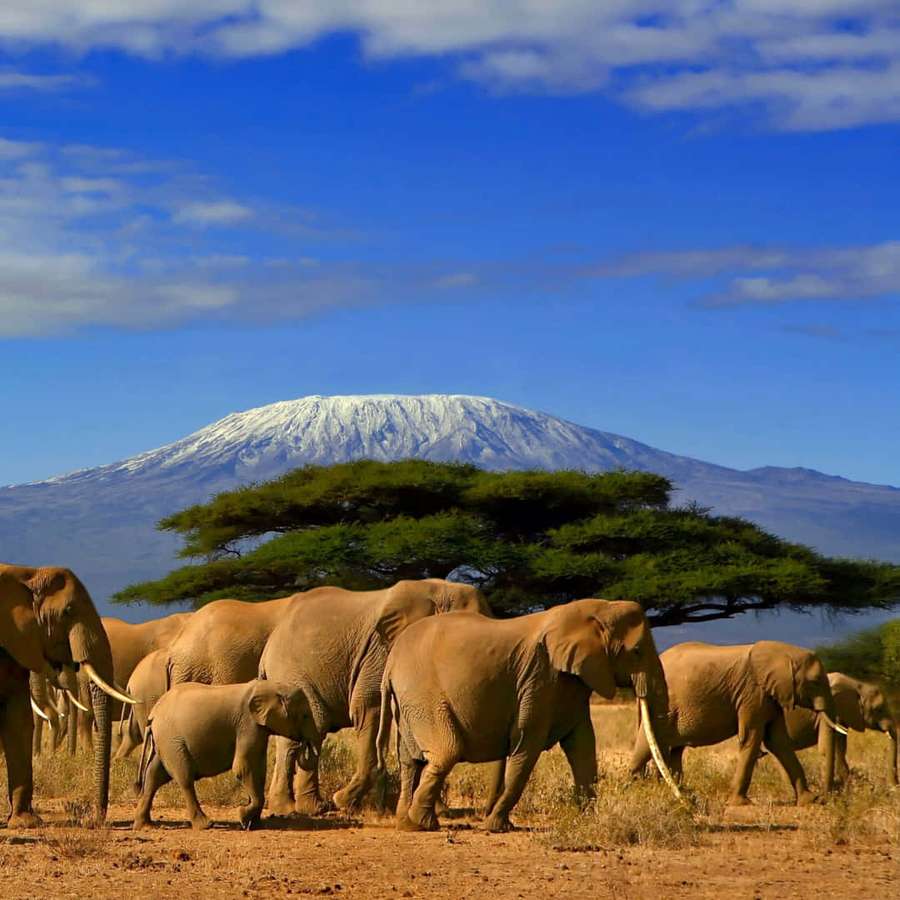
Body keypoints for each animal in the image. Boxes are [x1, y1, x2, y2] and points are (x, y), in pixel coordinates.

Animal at [0, 563, 136, 824]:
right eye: (68, 611)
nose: (95, 819)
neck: (27, 574)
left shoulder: (17, 642)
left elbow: (19, 720)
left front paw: (26, 821)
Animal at [133, 680, 318, 831]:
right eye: (305, 715)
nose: (304, 744)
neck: (271, 686)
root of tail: (153, 714)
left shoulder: (259, 729)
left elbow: (259, 769)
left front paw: (255, 824)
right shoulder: (248, 724)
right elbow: (243, 767)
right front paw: (243, 817)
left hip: (165, 741)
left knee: (154, 776)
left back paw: (145, 826)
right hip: (172, 741)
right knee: (184, 778)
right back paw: (205, 825)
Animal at [260, 578, 494, 815]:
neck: (440, 590)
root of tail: (269, 646)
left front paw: (439, 811)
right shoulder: (381, 652)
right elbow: (368, 706)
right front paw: (342, 801)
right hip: (289, 673)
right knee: (307, 731)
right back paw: (301, 808)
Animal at [377, 598, 675, 833]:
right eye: (636, 652)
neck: (595, 610)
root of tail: (391, 662)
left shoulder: (571, 683)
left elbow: (583, 747)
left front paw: (587, 821)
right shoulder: (539, 678)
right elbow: (527, 745)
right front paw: (497, 827)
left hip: (408, 701)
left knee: (410, 760)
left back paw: (407, 823)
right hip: (422, 694)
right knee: (446, 751)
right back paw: (421, 823)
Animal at [629, 640, 843, 806]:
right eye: (815, 682)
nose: (826, 797)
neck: (782, 653)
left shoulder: (769, 697)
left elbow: (778, 742)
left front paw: (809, 800)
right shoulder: (752, 693)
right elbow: (752, 738)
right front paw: (741, 803)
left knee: (673, 750)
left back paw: (676, 791)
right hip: (661, 703)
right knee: (648, 743)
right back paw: (633, 788)